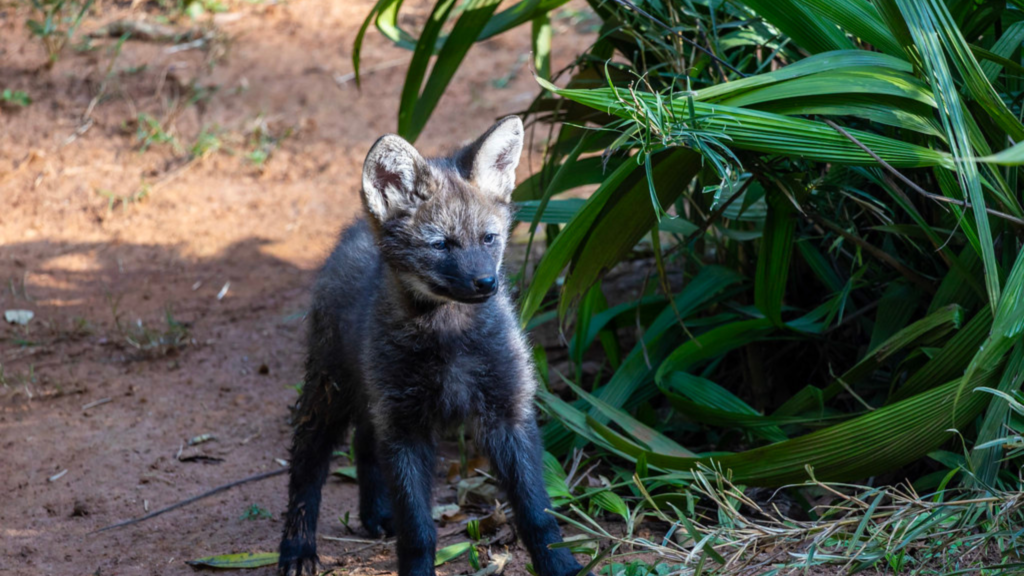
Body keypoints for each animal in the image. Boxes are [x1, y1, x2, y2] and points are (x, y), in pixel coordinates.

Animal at [278, 116, 588, 576]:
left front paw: (560, 564)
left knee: (365, 442)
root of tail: (354, 229)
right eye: (441, 244)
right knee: (307, 463)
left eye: (489, 238)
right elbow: (418, 531)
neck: (450, 340)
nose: (486, 284)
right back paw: (297, 548)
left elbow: (537, 513)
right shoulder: (407, 428)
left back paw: (375, 513)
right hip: (330, 391)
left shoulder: (507, 412)